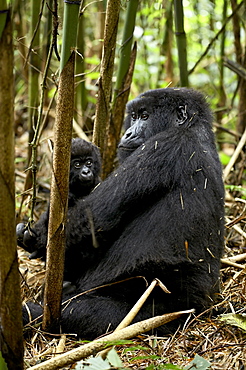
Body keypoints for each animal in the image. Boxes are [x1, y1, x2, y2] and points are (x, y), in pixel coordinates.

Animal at [22, 89, 225, 338]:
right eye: (134, 116)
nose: (127, 132)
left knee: (87, 314)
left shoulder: (165, 145)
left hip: (162, 306)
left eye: (145, 116)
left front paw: (36, 237)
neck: (194, 127)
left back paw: (35, 314)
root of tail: (203, 305)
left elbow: (93, 218)